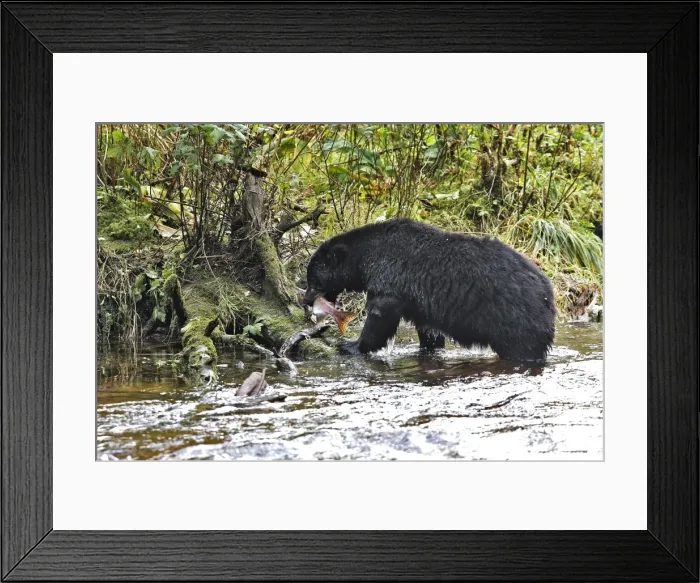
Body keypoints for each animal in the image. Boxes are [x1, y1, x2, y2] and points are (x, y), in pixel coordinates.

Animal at [303, 218, 556, 363]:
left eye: (312, 279)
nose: (306, 299)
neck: (367, 258)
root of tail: (548, 293)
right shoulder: (419, 301)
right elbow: (428, 329)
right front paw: (427, 349)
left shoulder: (391, 278)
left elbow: (380, 314)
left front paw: (351, 345)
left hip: (514, 318)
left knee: (522, 347)